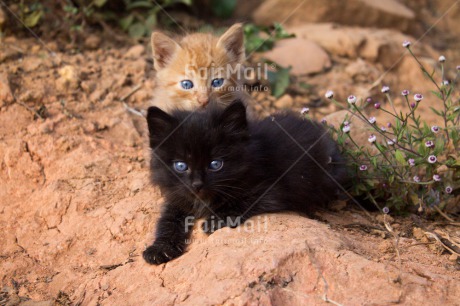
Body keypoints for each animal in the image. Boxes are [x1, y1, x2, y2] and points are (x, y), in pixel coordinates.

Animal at [142, 101, 346, 264]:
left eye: (215, 164)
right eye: (181, 165)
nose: (197, 184)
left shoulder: (272, 190)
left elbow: (241, 200)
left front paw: (216, 219)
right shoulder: (178, 195)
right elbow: (168, 219)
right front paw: (160, 248)